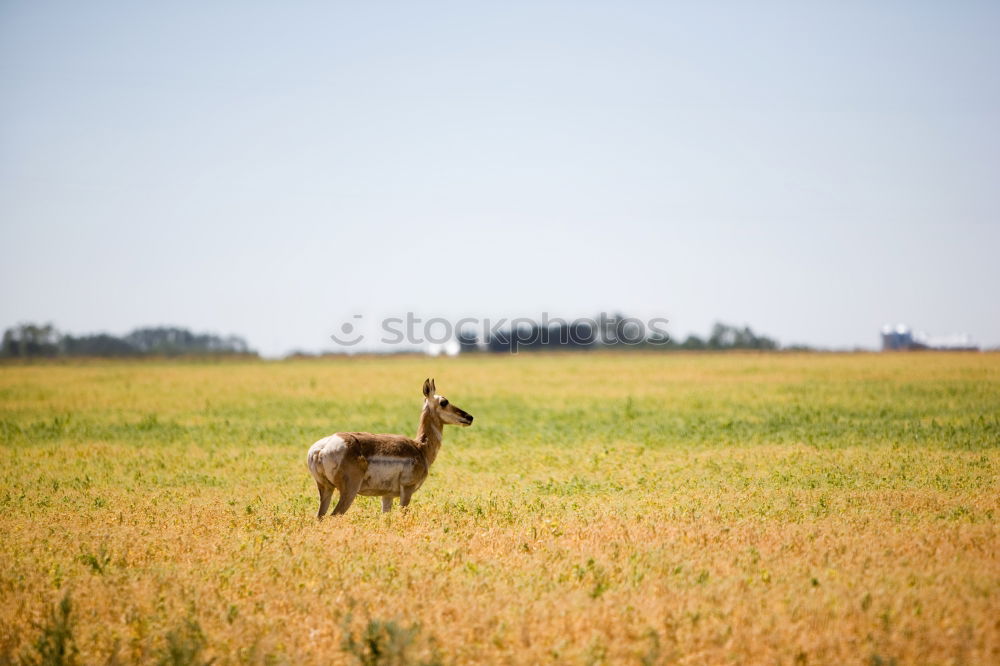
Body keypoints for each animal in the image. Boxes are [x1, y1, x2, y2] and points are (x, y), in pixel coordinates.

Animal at [304, 376, 472, 516]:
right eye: (444, 402)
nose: (469, 417)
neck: (420, 447)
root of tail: (321, 448)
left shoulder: (387, 496)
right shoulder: (407, 491)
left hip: (326, 489)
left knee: (320, 517)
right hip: (349, 491)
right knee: (334, 516)